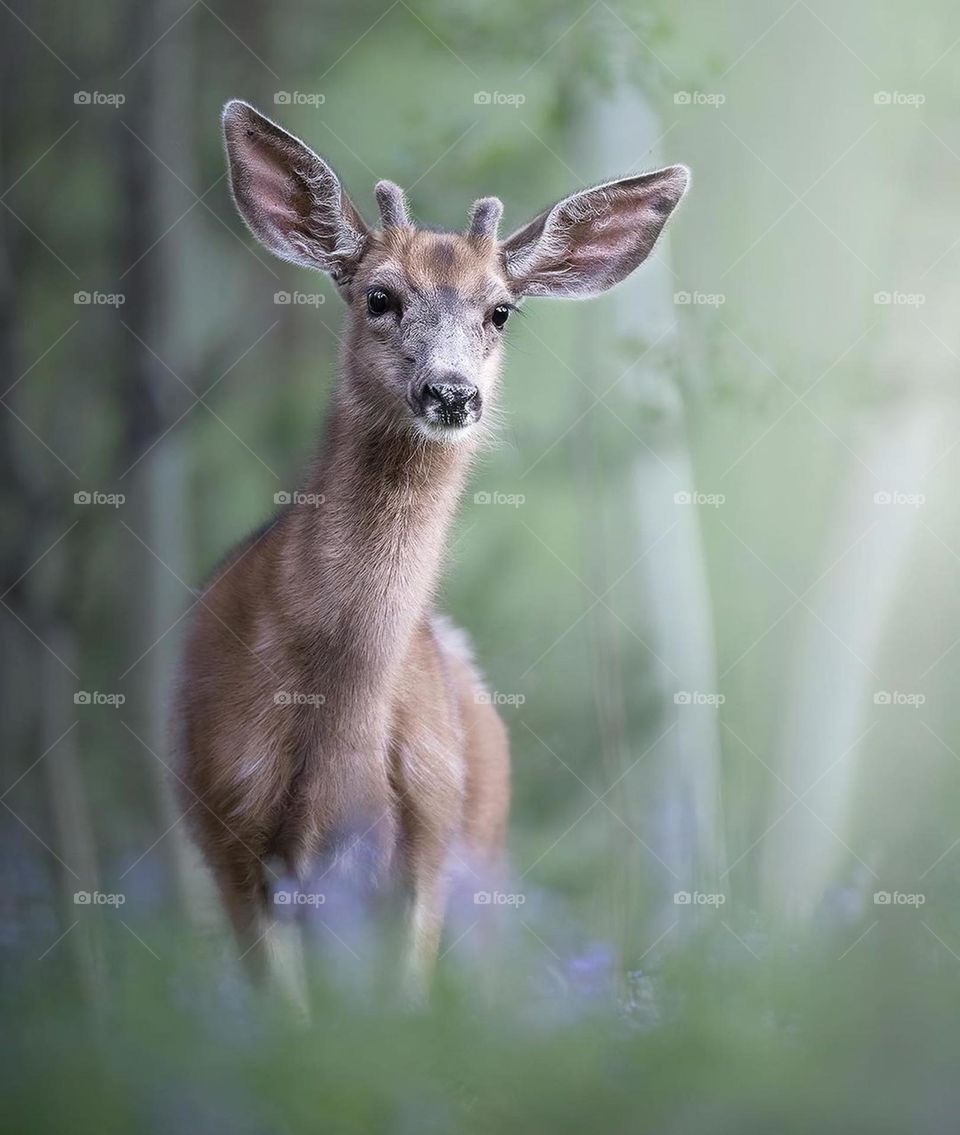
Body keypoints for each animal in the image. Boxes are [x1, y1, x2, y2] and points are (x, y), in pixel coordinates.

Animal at [176, 99, 688, 996]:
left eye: (501, 310)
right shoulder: (230, 835)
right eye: (379, 296)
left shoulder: (424, 840)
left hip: (479, 851)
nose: (451, 391)